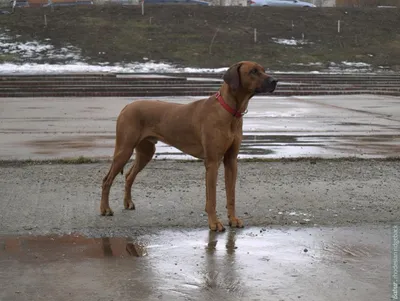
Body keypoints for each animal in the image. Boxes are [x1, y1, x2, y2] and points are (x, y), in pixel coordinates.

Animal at [98, 59, 276, 231]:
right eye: (253, 71)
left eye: (263, 69)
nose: (275, 81)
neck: (229, 111)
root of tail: (127, 106)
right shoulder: (212, 162)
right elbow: (211, 198)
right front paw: (214, 223)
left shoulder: (231, 161)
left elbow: (231, 195)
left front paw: (233, 220)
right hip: (124, 149)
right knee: (107, 180)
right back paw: (105, 209)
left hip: (146, 152)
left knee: (129, 175)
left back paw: (128, 203)